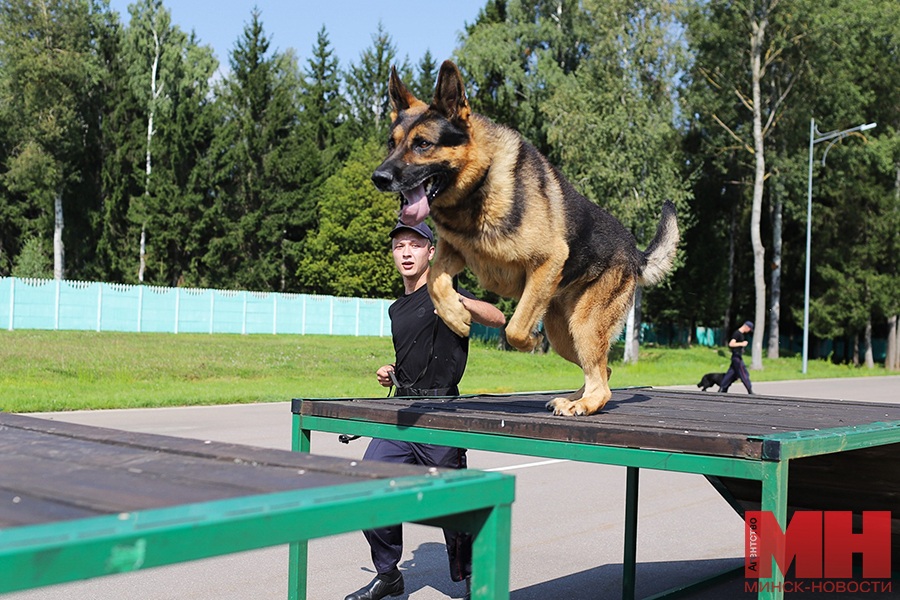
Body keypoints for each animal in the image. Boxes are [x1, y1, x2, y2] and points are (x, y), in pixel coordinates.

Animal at [370, 62, 676, 418]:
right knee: (604, 371)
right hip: (564, 334)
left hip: (584, 325)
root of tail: (634, 251)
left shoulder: (548, 260)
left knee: (602, 383)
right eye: (391, 143)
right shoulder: (455, 252)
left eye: (422, 144)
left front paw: (528, 340)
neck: (480, 182)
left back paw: (581, 405)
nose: (378, 178)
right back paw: (573, 398)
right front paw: (457, 317)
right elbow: (434, 282)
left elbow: (514, 328)